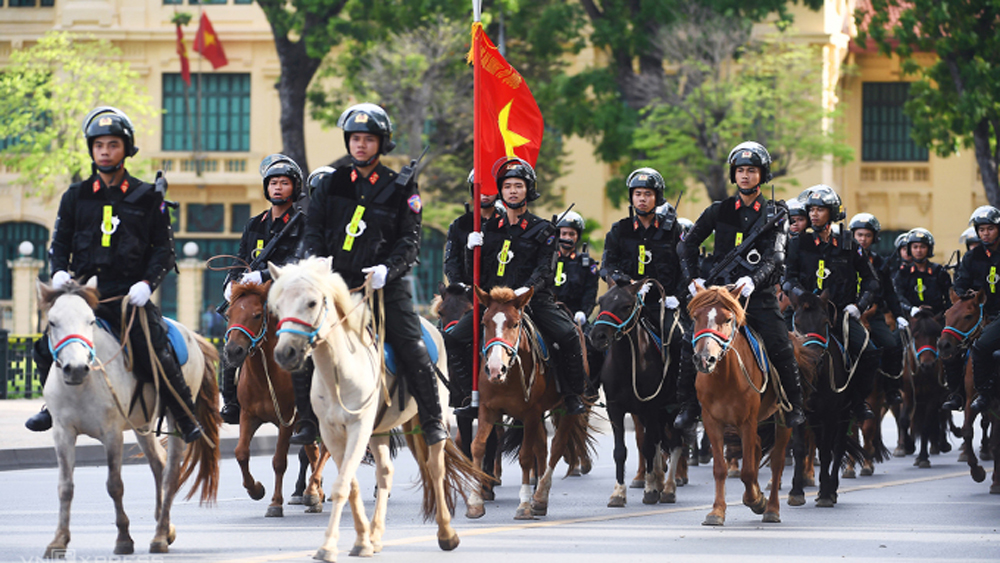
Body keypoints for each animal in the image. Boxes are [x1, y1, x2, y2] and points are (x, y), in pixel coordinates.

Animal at [39, 278, 221, 560]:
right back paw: (165, 527)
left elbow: (114, 484)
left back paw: (159, 536)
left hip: (175, 418)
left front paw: (124, 538)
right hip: (141, 424)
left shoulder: (111, 433)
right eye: (52, 322)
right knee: (159, 464)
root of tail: (191, 335)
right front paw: (59, 540)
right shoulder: (62, 432)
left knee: (171, 473)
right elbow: (65, 486)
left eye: (90, 320)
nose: (76, 368)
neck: (85, 382)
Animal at [223, 280, 324, 516]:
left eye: (257, 315)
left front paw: (275, 503)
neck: (264, 374)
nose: (232, 351)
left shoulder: (287, 420)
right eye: (228, 314)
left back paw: (313, 491)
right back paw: (315, 494)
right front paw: (256, 490)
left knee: (325, 452)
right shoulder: (248, 415)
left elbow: (279, 461)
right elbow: (241, 452)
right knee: (313, 451)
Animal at [266, 258, 484, 563]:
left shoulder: (359, 427)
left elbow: (342, 484)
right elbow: (350, 484)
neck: (338, 372)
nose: (285, 353)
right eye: (277, 306)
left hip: (434, 418)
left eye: (312, 302)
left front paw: (328, 546)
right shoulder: (333, 433)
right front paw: (361, 541)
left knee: (435, 466)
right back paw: (376, 535)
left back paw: (446, 533)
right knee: (386, 472)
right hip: (379, 429)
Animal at [466, 286, 596, 520]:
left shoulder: (530, 413)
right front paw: (475, 501)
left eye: (515, 324)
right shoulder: (488, 409)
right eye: (484, 323)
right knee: (542, 447)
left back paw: (540, 496)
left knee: (556, 446)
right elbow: (478, 447)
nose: (495, 369)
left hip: (564, 410)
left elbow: (526, 456)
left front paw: (524, 504)